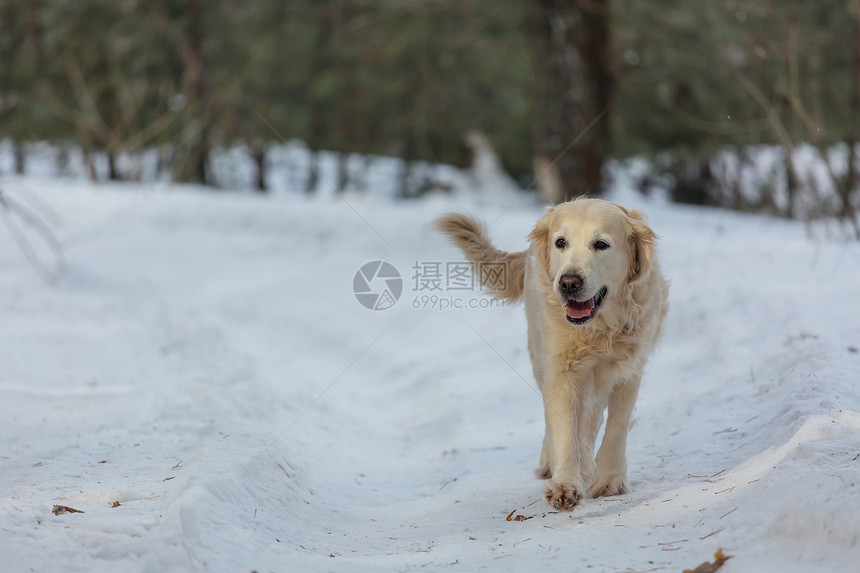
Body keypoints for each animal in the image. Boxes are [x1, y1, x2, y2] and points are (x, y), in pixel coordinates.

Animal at [434, 198, 668, 510]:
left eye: (601, 244)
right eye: (561, 242)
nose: (569, 282)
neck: (600, 328)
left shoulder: (629, 369)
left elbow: (616, 427)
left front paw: (610, 480)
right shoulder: (561, 372)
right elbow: (564, 428)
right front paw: (566, 483)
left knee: (593, 416)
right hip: (539, 354)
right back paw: (558, 463)